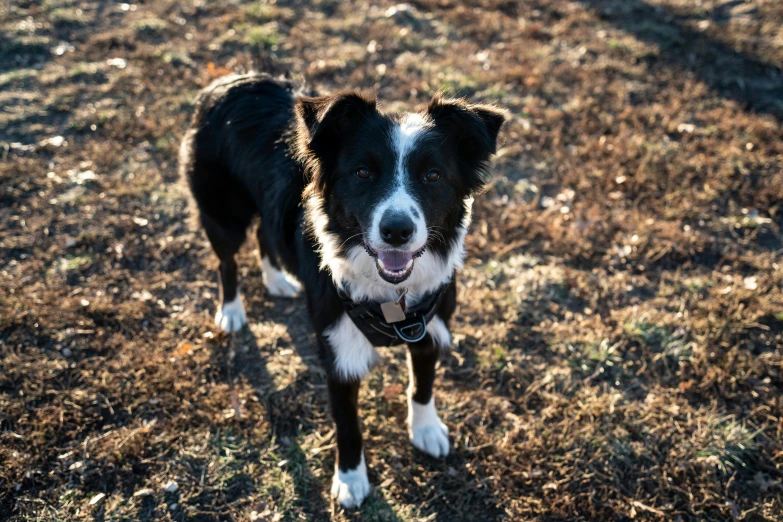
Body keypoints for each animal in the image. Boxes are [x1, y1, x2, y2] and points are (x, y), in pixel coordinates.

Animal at [181, 74, 506, 508]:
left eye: (433, 176)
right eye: (363, 173)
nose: (397, 231)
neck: (392, 300)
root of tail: (227, 81)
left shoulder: (430, 325)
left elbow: (422, 386)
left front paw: (425, 430)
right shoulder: (338, 351)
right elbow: (349, 425)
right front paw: (351, 480)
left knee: (267, 233)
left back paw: (276, 279)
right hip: (222, 212)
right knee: (227, 261)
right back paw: (232, 311)